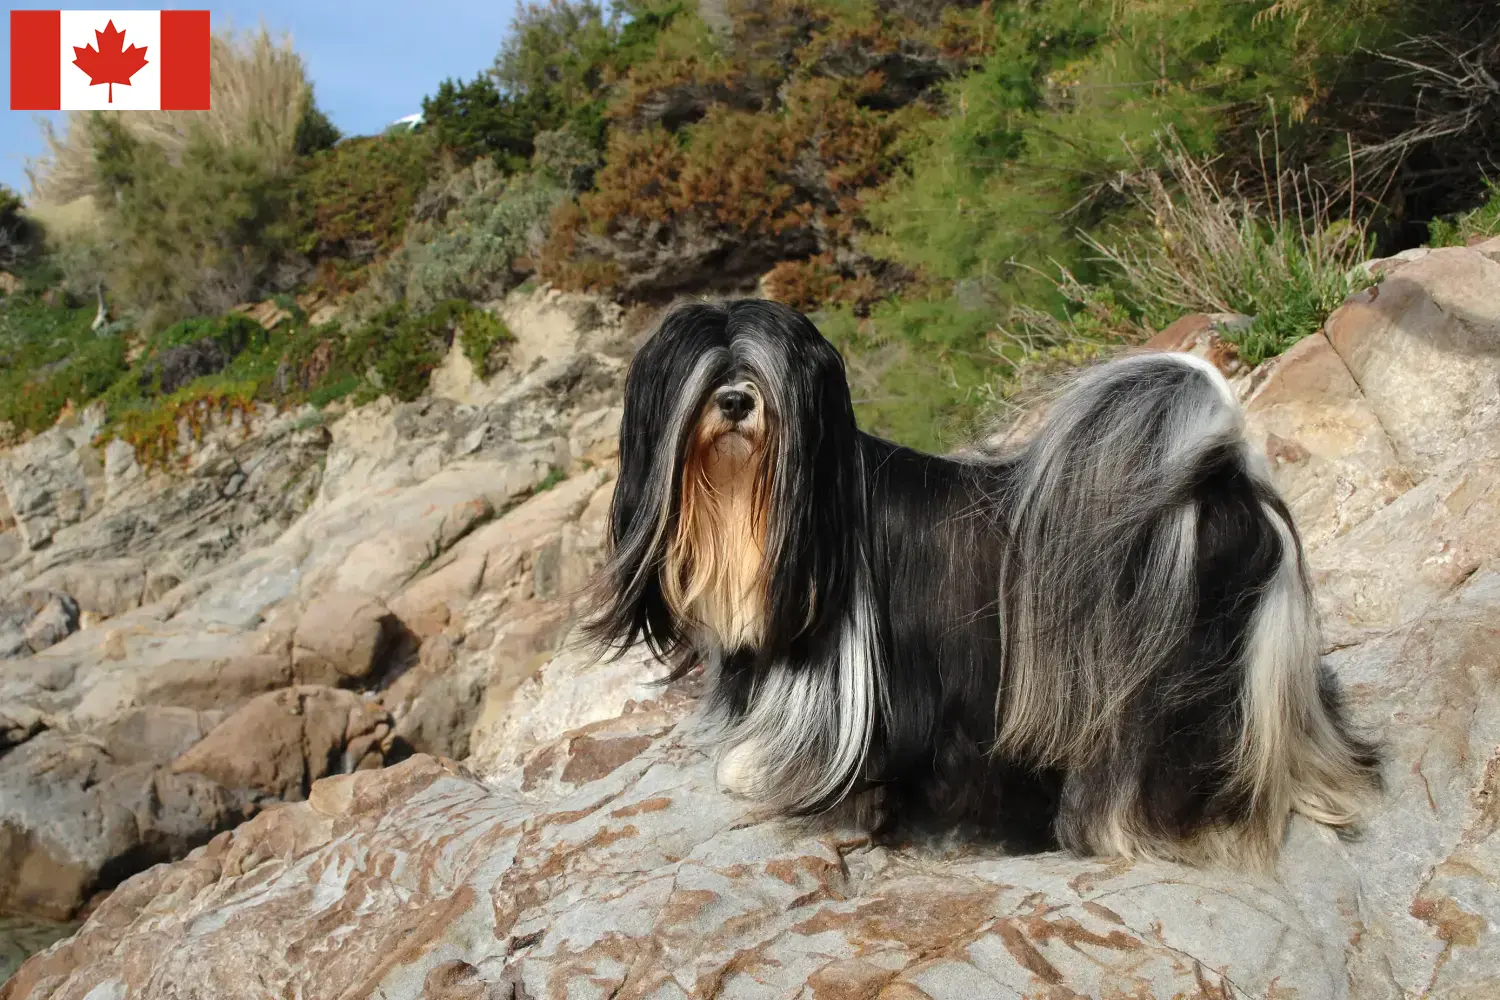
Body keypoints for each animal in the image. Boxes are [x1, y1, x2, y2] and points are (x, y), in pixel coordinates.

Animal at [579, 296, 1374, 869]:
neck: (782, 509)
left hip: (1180, 687)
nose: (738, 402)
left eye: (761, 377)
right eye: (709, 378)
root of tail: (1225, 481)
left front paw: (750, 772)